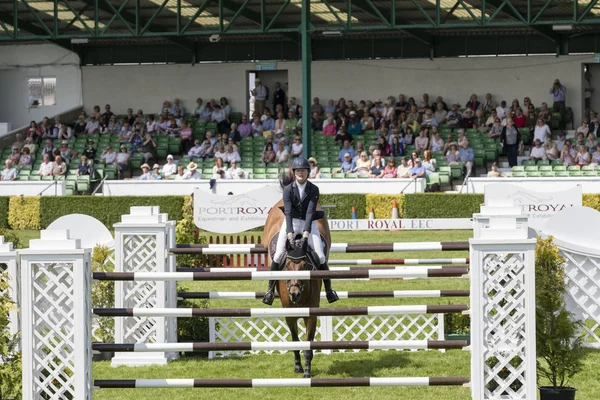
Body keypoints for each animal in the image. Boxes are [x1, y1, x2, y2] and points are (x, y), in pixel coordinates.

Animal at [262, 199, 330, 378]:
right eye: (286, 265)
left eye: (305, 265)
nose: (294, 293)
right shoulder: (290, 315)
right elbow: (295, 341)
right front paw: (298, 367)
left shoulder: (311, 315)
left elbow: (308, 344)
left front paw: (307, 370)